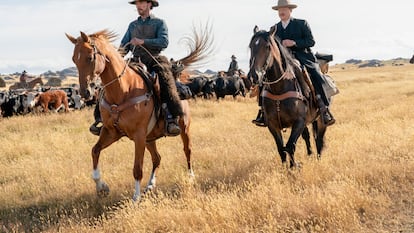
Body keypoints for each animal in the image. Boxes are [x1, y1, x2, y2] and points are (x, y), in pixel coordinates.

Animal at [66, 28, 212, 200]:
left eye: (90, 57)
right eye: (74, 59)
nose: (85, 92)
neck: (124, 90)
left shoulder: (138, 135)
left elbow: (137, 168)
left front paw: (136, 198)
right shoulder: (111, 132)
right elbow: (95, 151)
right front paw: (102, 187)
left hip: (184, 128)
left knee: (187, 150)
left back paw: (190, 177)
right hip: (150, 138)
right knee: (157, 158)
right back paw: (150, 185)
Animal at [247, 26, 328, 167]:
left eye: (268, 46)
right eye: (251, 46)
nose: (253, 76)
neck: (279, 88)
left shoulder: (299, 122)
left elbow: (290, 146)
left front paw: (294, 167)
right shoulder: (273, 125)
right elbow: (281, 148)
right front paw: (286, 168)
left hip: (320, 120)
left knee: (319, 139)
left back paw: (318, 158)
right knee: (307, 136)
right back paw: (310, 154)